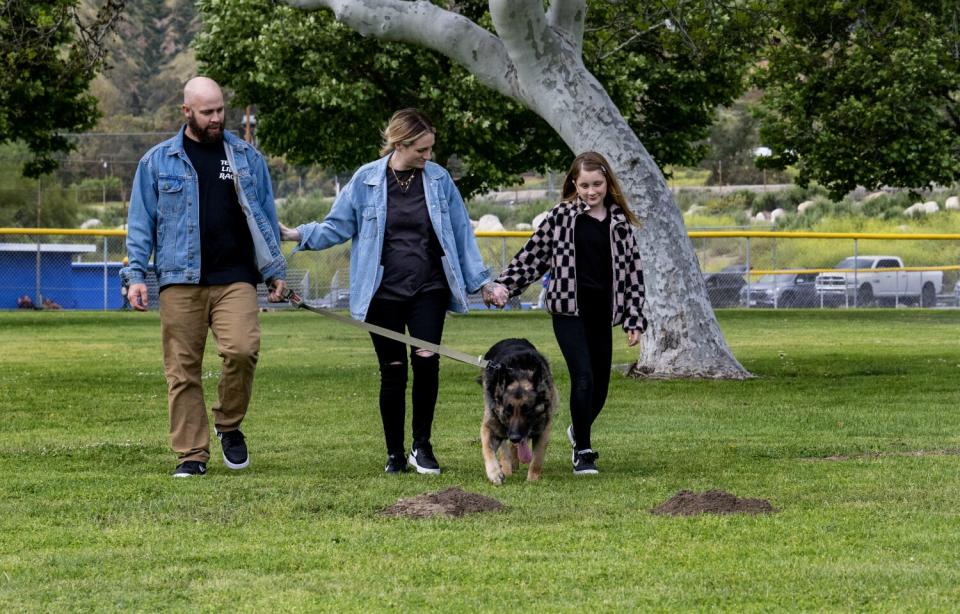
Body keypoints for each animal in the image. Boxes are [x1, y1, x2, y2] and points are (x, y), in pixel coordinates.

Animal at [478, 340, 556, 484]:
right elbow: (487, 448)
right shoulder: (490, 425)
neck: (520, 374)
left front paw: (532, 480)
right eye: (508, 411)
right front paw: (494, 473)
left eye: (528, 410)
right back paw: (507, 468)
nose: (514, 437)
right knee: (505, 449)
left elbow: (537, 459)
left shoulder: (544, 429)